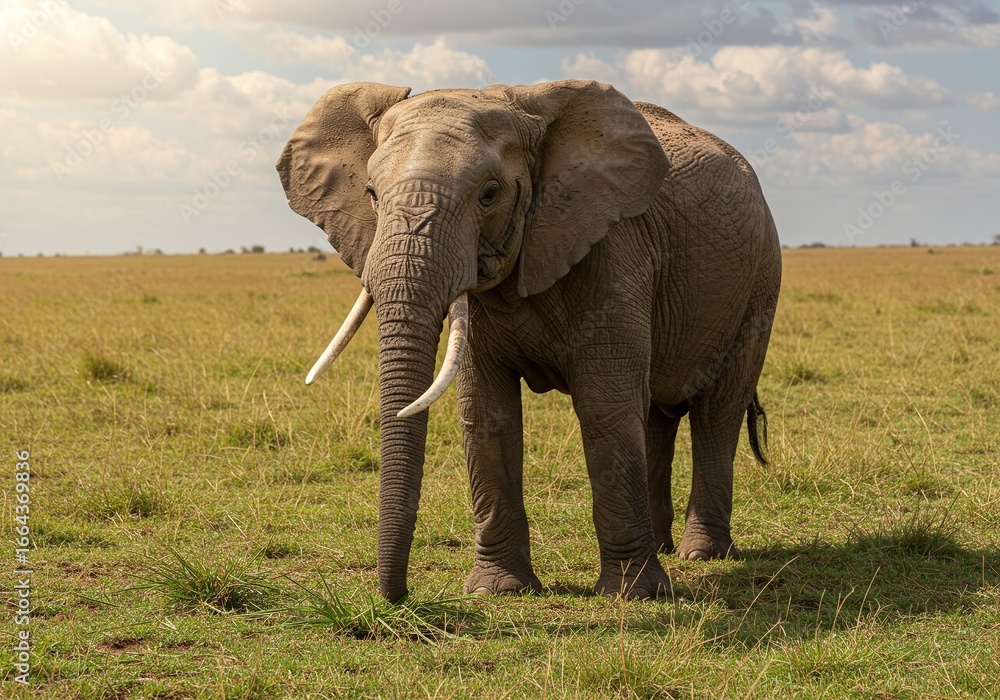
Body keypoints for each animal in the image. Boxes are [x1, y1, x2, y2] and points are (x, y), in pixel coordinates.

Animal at [277, 79, 781, 603]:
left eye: (489, 194)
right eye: (371, 193)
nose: (398, 596)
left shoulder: (615, 248)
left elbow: (605, 404)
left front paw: (632, 595)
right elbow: (486, 410)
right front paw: (498, 591)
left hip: (761, 279)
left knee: (716, 411)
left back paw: (701, 554)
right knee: (658, 411)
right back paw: (664, 546)